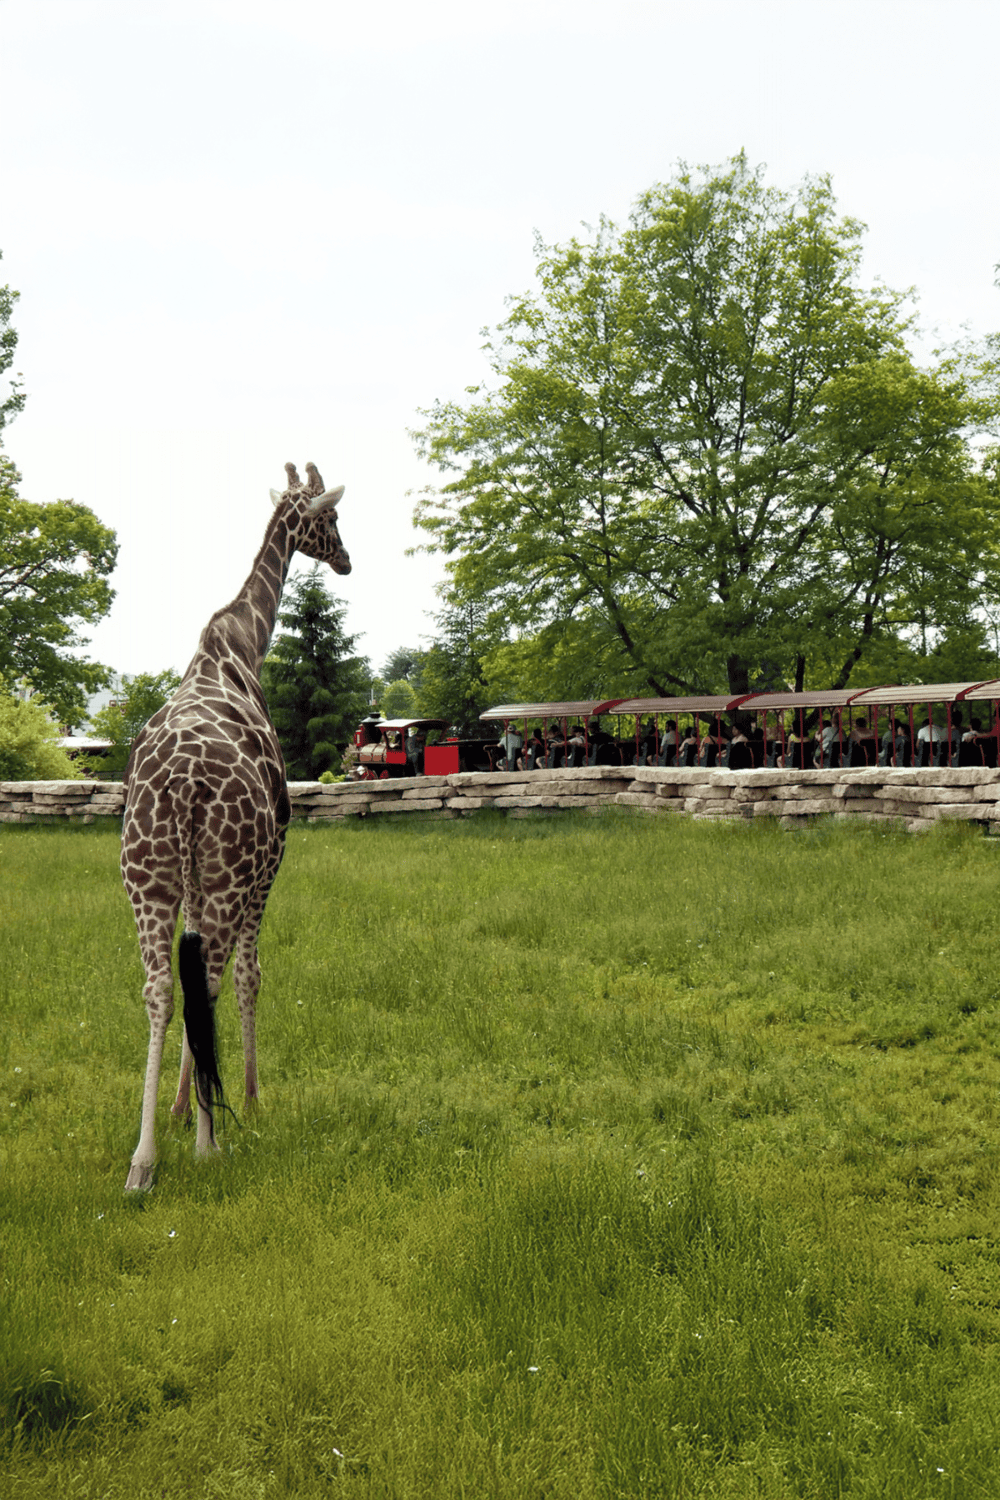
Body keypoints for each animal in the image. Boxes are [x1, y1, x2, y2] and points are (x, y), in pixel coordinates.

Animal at [121, 461, 351, 1192]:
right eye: (332, 519)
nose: (347, 561)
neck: (239, 647)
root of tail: (182, 784)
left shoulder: (194, 879)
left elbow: (189, 979)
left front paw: (175, 1104)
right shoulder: (273, 856)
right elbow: (251, 975)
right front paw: (249, 1099)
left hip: (148, 876)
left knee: (162, 987)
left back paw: (145, 1159)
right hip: (230, 870)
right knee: (216, 979)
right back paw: (208, 1142)